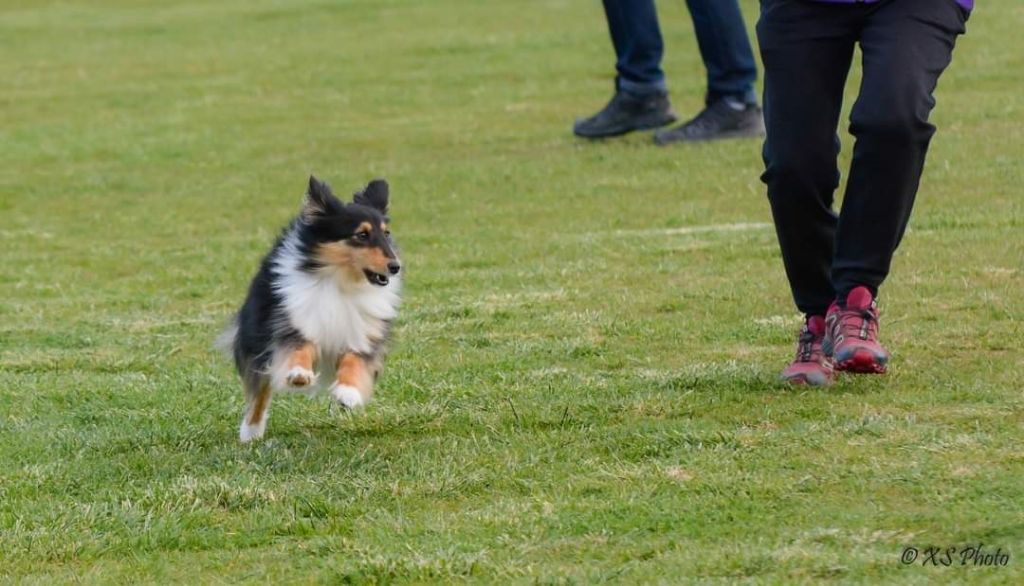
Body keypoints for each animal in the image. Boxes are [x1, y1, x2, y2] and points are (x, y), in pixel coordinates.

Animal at [219, 176, 399, 442]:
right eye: (361, 234)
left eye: (386, 233)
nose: (395, 266)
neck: (341, 282)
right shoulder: (294, 320)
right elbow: (299, 348)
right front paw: (298, 375)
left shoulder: (363, 330)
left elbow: (355, 360)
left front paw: (347, 393)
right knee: (262, 386)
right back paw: (251, 430)